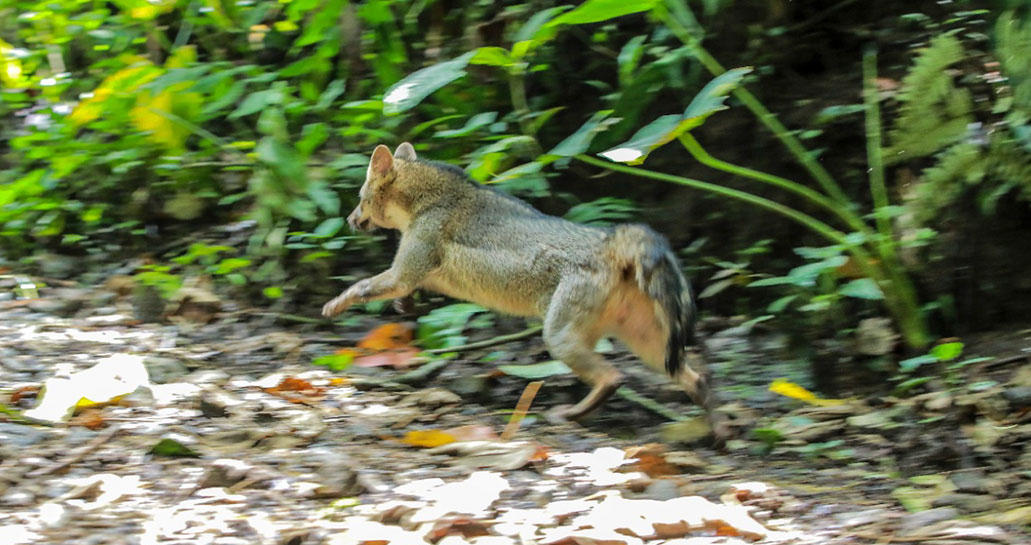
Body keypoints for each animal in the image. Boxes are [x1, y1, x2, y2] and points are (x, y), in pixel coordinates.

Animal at [322, 142, 720, 434]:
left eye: (360, 198)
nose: (350, 219)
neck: (430, 197)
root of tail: (609, 243)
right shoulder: (425, 272)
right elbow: (406, 288)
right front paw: (405, 306)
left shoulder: (406, 268)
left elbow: (362, 287)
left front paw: (334, 305)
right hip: (650, 348)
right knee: (696, 379)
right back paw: (717, 431)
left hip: (560, 337)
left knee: (613, 377)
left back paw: (570, 415)